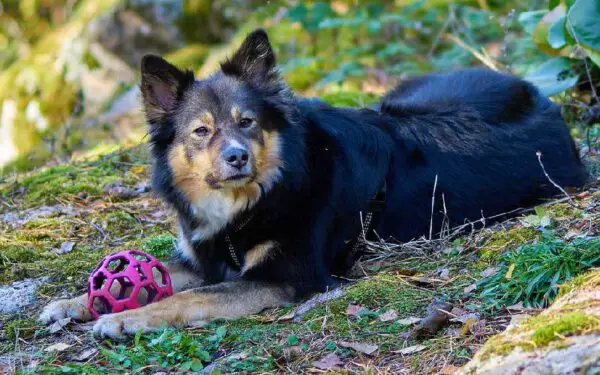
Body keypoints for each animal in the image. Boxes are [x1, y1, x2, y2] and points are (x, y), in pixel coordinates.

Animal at [39, 29, 588, 340]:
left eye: (248, 123)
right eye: (201, 131)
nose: (237, 158)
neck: (250, 205)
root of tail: (541, 95)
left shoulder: (289, 276)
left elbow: (191, 298)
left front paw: (123, 319)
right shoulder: (205, 257)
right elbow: (168, 278)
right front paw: (78, 303)